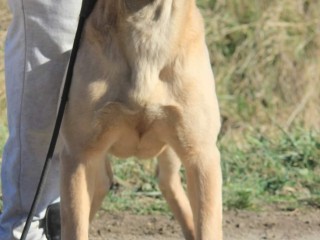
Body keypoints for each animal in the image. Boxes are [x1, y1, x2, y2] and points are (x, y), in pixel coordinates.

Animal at [60, 0, 222, 240]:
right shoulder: (78, 156)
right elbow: (75, 226)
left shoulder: (201, 155)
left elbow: (208, 225)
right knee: (103, 184)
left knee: (167, 181)